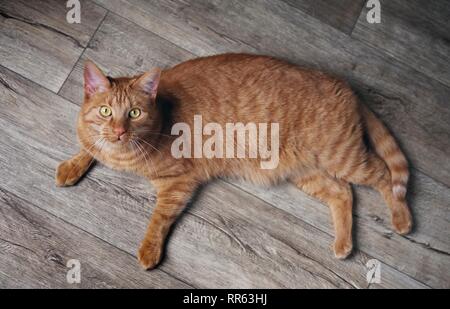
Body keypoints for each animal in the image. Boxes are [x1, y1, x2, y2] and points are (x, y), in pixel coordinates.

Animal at [56, 53, 412, 268]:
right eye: (106, 111)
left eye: (133, 113)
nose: (119, 131)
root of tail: (346, 86)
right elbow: (89, 148)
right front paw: (73, 166)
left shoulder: (179, 183)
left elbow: (159, 219)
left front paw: (149, 249)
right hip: (308, 172)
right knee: (343, 193)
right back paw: (343, 243)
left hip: (343, 157)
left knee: (384, 176)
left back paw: (402, 219)